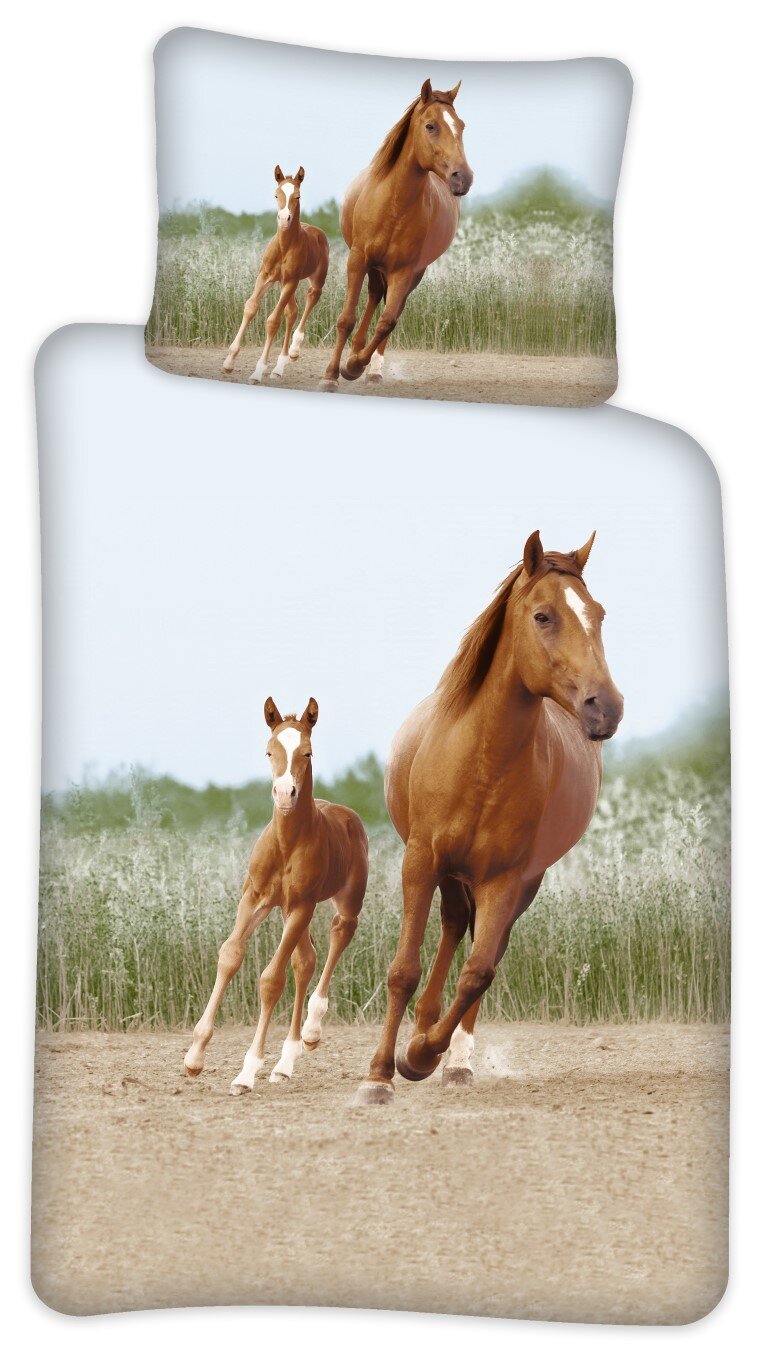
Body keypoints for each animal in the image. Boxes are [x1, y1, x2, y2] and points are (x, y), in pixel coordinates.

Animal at [184, 697, 368, 1092]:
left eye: (308, 752)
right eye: (269, 751)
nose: (285, 794)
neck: (287, 844)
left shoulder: (301, 905)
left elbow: (271, 980)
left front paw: (247, 1071)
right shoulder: (255, 899)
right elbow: (230, 955)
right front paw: (195, 1056)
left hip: (341, 902)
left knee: (338, 935)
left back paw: (311, 1031)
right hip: (286, 910)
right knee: (305, 961)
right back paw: (286, 1061)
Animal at [222, 166, 330, 385]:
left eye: (298, 196)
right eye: (276, 194)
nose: (284, 218)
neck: (284, 247)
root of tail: (317, 231)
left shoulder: (290, 281)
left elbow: (273, 321)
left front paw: (257, 372)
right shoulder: (265, 277)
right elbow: (250, 307)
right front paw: (229, 362)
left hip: (313, 281)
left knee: (309, 300)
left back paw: (293, 352)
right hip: (282, 284)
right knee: (292, 312)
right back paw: (279, 367)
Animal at [320, 79, 473, 392]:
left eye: (461, 126)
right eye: (430, 126)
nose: (462, 178)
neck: (393, 204)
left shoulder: (404, 270)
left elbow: (387, 321)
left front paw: (355, 367)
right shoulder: (357, 260)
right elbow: (346, 318)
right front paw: (331, 374)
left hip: (411, 273)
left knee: (390, 309)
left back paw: (369, 367)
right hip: (374, 266)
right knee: (374, 295)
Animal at [354, 531, 624, 1106]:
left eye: (599, 614)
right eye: (543, 616)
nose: (605, 707)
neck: (481, 759)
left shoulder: (504, 878)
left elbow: (478, 971)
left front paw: (422, 1056)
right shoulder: (421, 863)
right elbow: (403, 969)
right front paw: (380, 1074)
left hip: (518, 884)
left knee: (483, 949)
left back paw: (450, 1057)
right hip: (450, 875)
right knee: (455, 926)